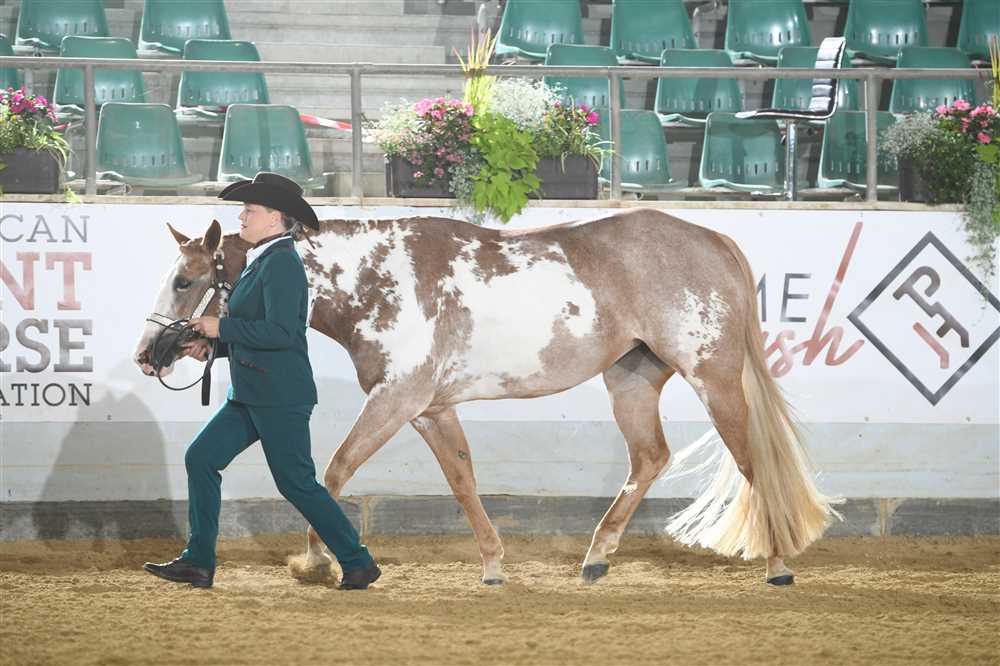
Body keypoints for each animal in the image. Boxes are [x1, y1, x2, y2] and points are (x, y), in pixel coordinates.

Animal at [134, 208, 838, 586]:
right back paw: (596, 559)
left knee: (752, 464)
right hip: (632, 379)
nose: (149, 353)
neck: (381, 279)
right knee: (649, 459)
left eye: (185, 280)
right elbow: (463, 480)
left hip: (713, 378)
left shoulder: (397, 398)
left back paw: (777, 564)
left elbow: (331, 473)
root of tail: (713, 240)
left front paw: (316, 562)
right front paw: (495, 564)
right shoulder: (431, 409)